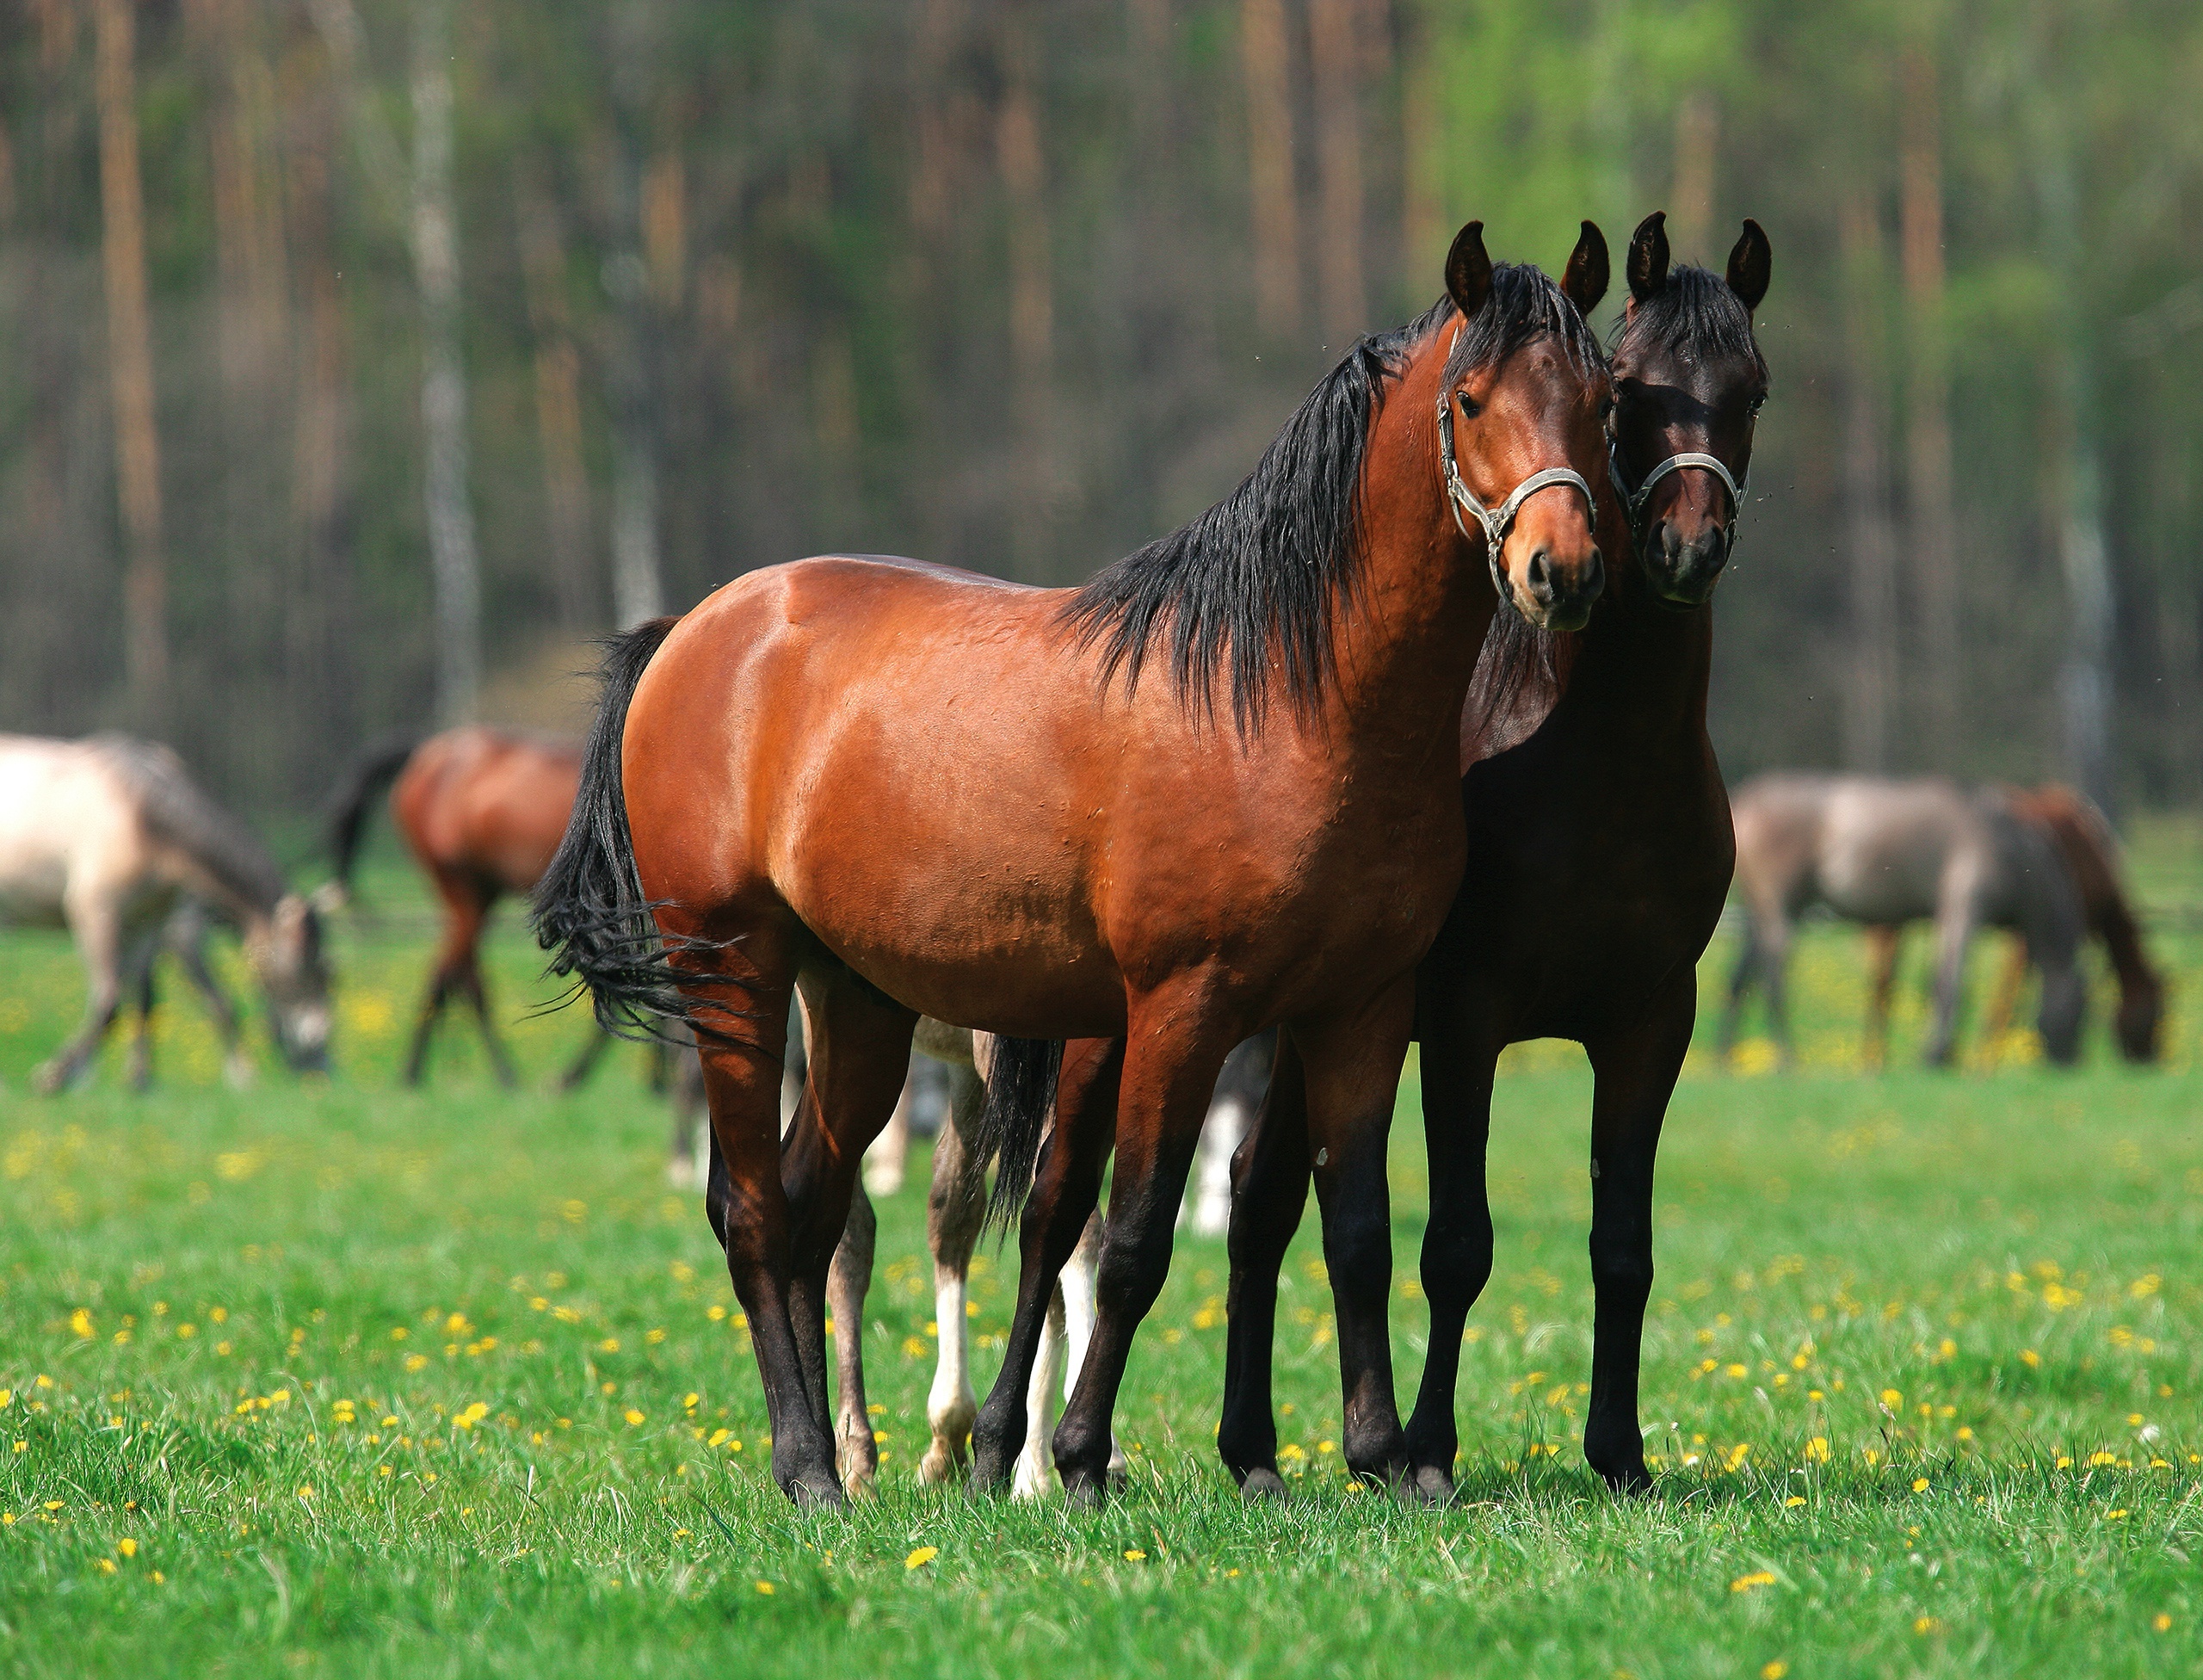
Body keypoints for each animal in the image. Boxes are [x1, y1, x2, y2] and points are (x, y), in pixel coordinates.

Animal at [0, 733, 333, 1091]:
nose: (322, 1060)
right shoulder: (104, 914)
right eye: (307, 969)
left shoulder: (147, 924)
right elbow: (111, 1001)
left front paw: (138, 1079)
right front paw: (57, 1076)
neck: (143, 815)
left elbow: (145, 1000)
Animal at [328, 726, 611, 1088]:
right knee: (456, 976)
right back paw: (482, 1072)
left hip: (480, 894)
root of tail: (429, 752)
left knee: (453, 974)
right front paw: (571, 1076)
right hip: (461, 888)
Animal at [536, 221, 1613, 1506]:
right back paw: (806, 1467)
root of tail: (693, 632)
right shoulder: (1180, 1010)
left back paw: (840, 1467)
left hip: (856, 1006)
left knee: (811, 1208)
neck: (1287, 698)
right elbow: (1130, 1240)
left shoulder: (1358, 1009)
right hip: (735, 976)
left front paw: (1386, 1459)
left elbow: (1354, 1232)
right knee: (751, 1212)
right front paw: (1081, 1459)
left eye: (1601, 398)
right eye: (1470, 398)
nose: (1562, 570)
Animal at [1209, 214, 1771, 1504]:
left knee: (1264, 1197)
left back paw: (1254, 1449)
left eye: (1753, 390)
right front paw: (1426, 1450)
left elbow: (1624, 1246)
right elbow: (1456, 1244)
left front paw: (1619, 1453)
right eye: (1635, 396)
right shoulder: (1466, 1018)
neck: (1597, 760)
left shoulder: (1650, 1022)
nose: (1684, 547)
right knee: (1259, 1199)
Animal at [1719, 773, 2086, 1067]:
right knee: (1773, 980)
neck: (2011, 846)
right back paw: (1787, 1059)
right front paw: (1935, 1054)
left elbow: (1937, 984)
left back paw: (1725, 1057)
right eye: (2082, 1010)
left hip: (1761, 915)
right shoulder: (1963, 912)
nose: (2069, 1063)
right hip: (1780, 913)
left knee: (1740, 979)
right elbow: (1950, 983)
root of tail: (1748, 802)